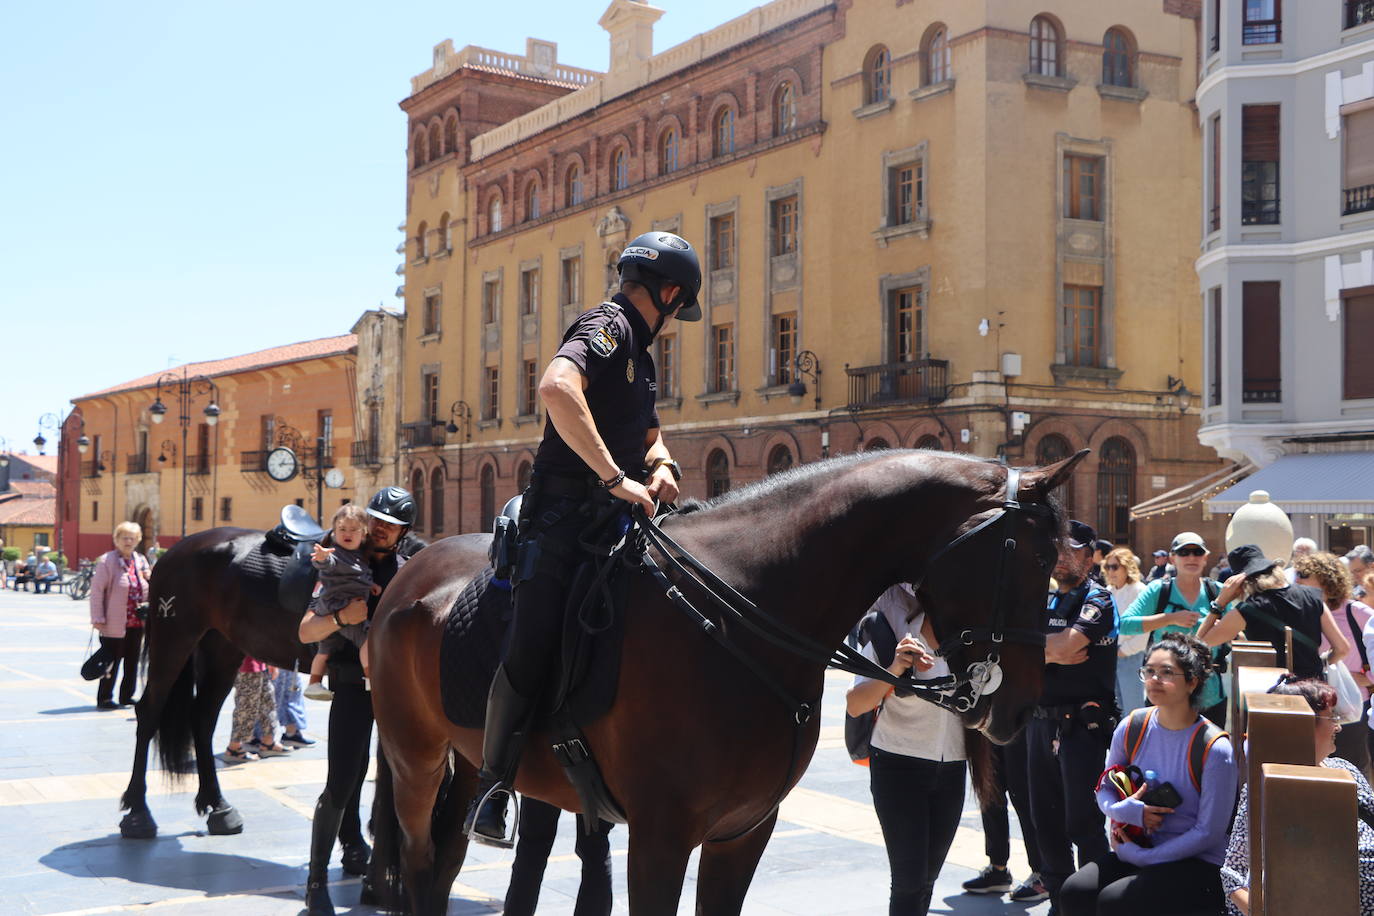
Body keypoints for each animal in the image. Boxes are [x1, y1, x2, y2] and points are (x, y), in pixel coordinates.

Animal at [116, 530, 316, 840]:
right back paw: (139, 812)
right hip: (173, 640)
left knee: (202, 718)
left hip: (222, 650)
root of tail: (171, 552)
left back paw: (218, 806)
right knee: (149, 712)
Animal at [362, 450, 1082, 916]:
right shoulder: (660, 838)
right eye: (1033, 555)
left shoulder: (743, 832)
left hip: (462, 758)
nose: (1021, 705)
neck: (738, 614)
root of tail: (408, 570)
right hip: (413, 758)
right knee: (422, 862)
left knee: (445, 862)